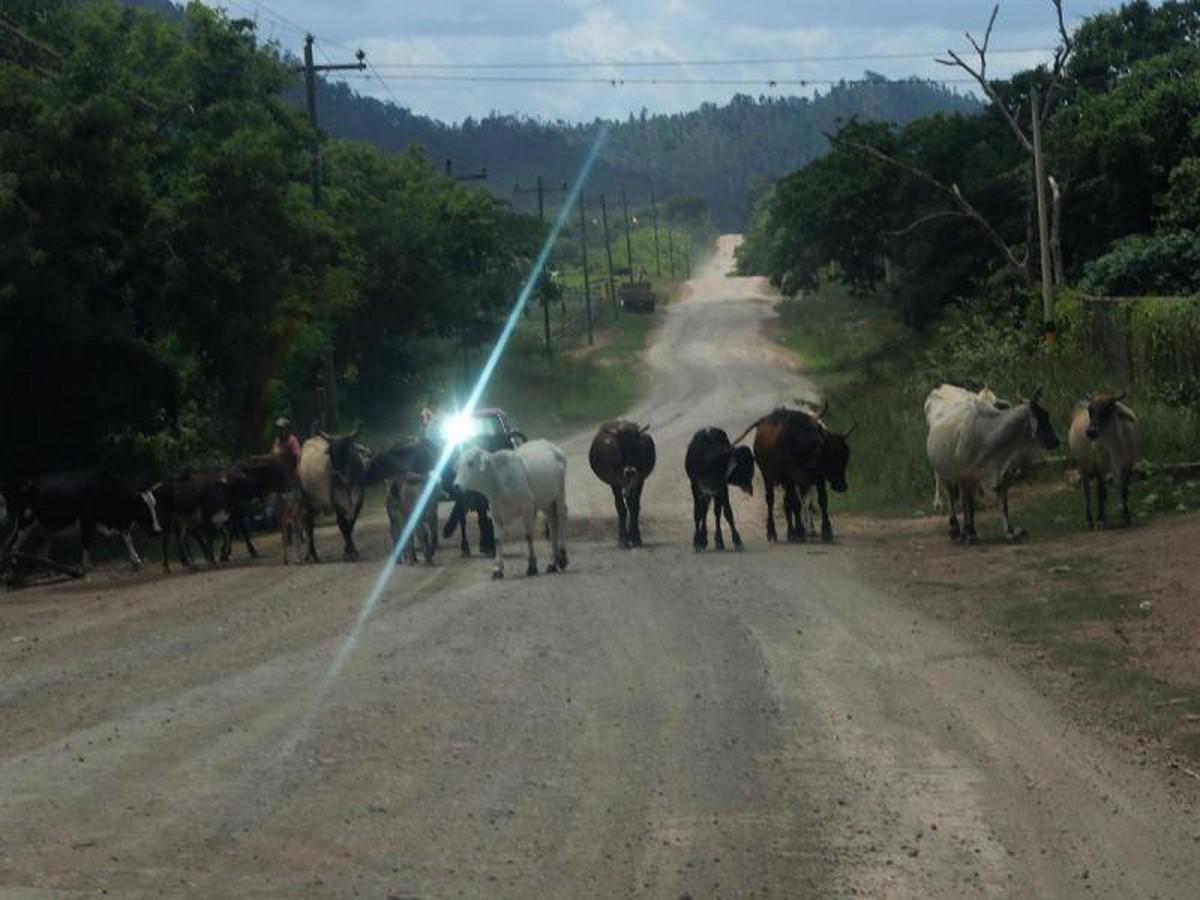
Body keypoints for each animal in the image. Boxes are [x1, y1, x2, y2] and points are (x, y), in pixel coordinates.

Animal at [9, 472, 162, 578]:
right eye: (143, 508)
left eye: (154, 505)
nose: (158, 531)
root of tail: (26, 484)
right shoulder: (86, 521)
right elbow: (87, 543)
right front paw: (85, 568)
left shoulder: (119, 523)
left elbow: (127, 538)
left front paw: (136, 562)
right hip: (25, 523)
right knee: (14, 548)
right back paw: (11, 574)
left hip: (45, 531)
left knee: (41, 553)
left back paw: (52, 572)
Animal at [451, 441, 568, 580]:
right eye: (457, 465)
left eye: (470, 462)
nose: (456, 486)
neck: (498, 481)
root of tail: (550, 445)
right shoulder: (495, 513)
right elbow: (497, 539)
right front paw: (497, 569)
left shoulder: (527, 507)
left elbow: (528, 536)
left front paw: (532, 566)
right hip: (547, 502)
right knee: (552, 524)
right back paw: (553, 563)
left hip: (560, 493)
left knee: (561, 517)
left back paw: (563, 559)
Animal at [1075, 393, 1137, 528]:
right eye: (1090, 410)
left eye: (1107, 408)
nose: (1091, 432)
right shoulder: (1099, 466)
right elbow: (1101, 492)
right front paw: (1100, 519)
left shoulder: (1128, 464)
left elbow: (1124, 490)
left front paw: (1126, 517)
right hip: (1083, 466)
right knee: (1087, 491)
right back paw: (1090, 520)